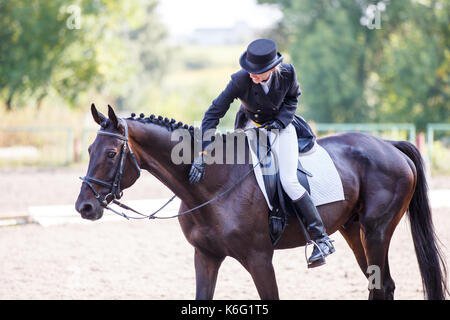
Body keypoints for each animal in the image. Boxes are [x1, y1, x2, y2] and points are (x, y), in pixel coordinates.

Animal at [74, 105, 446, 300]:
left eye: (111, 153)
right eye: (90, 150)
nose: (84, 207)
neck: (210, 186)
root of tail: (389, 145)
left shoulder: (259, 259)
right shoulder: (205, 256)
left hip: (376, 231)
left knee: (382, 284)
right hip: (354, 232)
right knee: (381, 285)